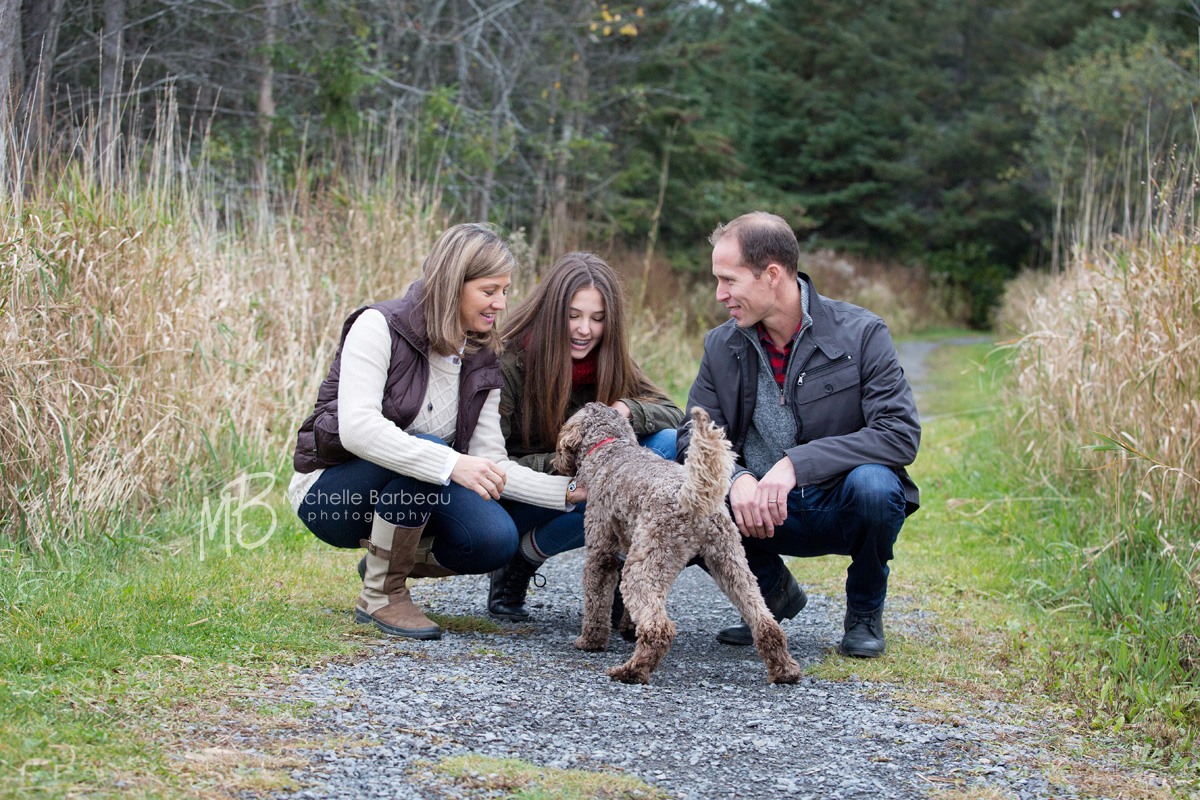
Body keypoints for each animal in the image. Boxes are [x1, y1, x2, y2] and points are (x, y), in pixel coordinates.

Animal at [554, 402, 801, 686]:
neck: (611, 447)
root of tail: (691, 497)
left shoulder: (602, 553)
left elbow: (596, 601)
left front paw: (590, 641)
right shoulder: (632, 552)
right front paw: (628, 628)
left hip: (644, 568)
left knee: (659, 629)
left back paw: (632, 671)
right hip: (730, 564)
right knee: (766, 623)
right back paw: (784, 671)